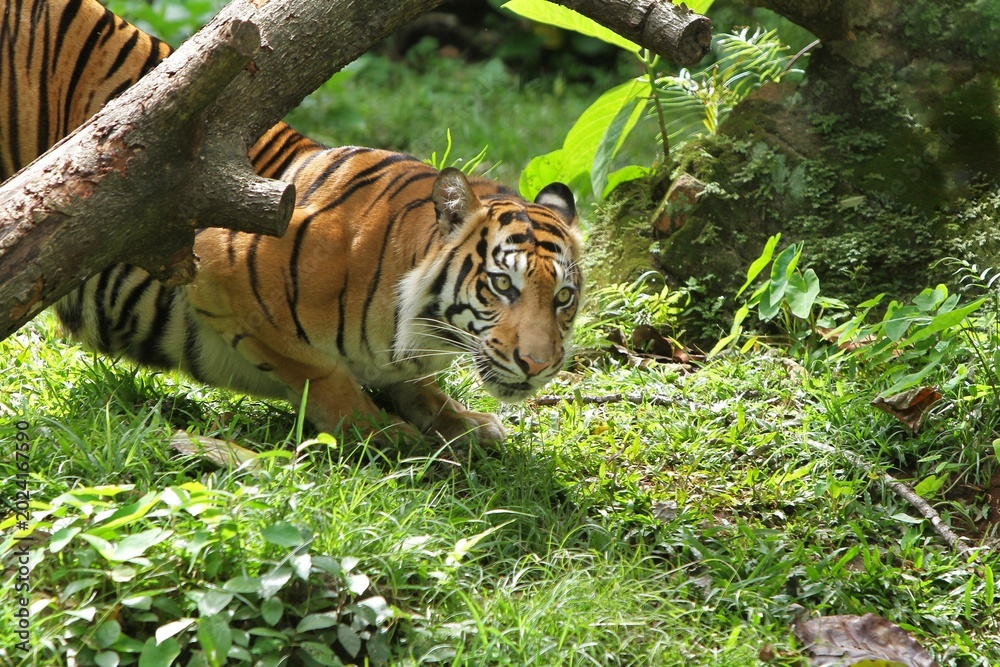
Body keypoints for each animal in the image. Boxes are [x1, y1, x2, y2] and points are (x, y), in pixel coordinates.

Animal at [2, 0, 584, 444]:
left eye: (563, 298)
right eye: (501, 285)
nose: (539, 365)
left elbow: (416, 389)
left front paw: (463, 423)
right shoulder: (221, 270)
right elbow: (321, 372)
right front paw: (380, 434)